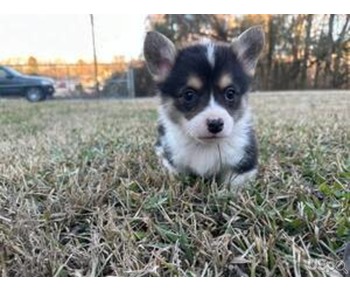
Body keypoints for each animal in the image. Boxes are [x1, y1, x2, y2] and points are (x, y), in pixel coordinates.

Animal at [144, 26, 264, 187]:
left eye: (230, 93)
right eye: (189, 95)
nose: (215, 124)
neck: (205, 146)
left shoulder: (244, 165)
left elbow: (233, 184)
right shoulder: (174, 165)